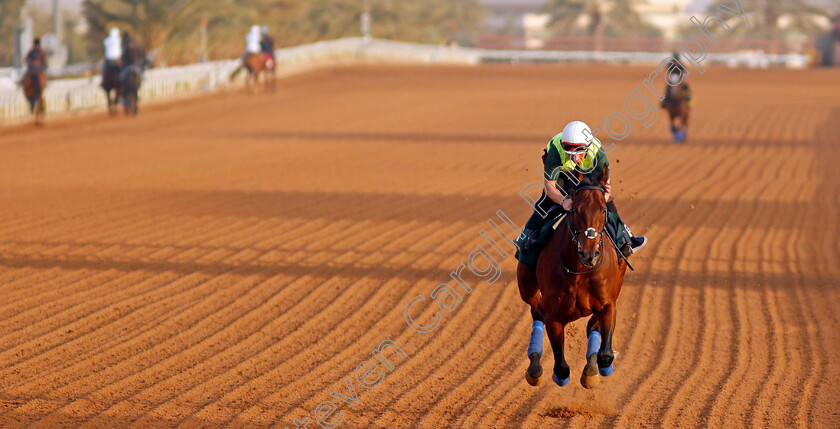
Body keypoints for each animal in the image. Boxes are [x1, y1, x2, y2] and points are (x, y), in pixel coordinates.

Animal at [516, 170, 628, 388]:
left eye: (603, 210)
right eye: (575, 210)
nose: (589, 254)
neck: (579, 271)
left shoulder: (608, 303)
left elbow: (605, 354)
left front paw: (597, 369)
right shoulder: (554, 314)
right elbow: (561, 367)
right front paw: (556, 375)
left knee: (592, 326)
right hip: (526, 284)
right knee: (537, 311)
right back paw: (534, 367)